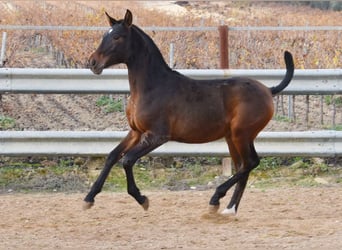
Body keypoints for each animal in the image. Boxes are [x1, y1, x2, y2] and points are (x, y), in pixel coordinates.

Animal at [85, 8, 294, 214]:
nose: (92, 63)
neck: (153, 86)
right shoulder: (136, 132)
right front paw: (89, 198)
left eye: (117, 37)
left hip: (241, 134)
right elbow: (112, 156)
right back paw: (229, 210)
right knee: (243, 166)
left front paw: (142, 199)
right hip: (233, 137)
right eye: (105, 35)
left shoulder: (157, 136)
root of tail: (268, 90)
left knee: (250, 163)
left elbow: (127, 160)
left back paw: (216, 199)